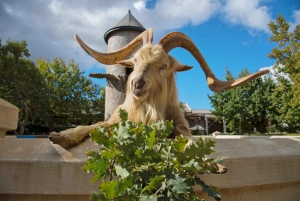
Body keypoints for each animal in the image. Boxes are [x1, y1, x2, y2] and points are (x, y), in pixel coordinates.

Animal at [49, 27, 270, 148]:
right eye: (135, 61)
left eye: (163, 66)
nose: (136, 84)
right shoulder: (115, 122)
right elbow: (94, 126)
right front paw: (61, 136)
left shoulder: (181, 125)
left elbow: (188, 138)